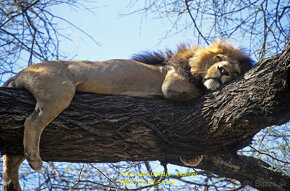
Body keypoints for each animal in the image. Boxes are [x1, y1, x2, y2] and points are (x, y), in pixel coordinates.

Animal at [1, 40, 251, 191]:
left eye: (236, 71)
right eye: (218, 58)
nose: (224, 71)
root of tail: (19, 74)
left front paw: (193, 156)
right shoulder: (171, 84)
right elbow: (197, 89)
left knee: (12, 155)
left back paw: (12, 183)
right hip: (59, 91)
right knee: (32, 121)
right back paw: (34, 158)